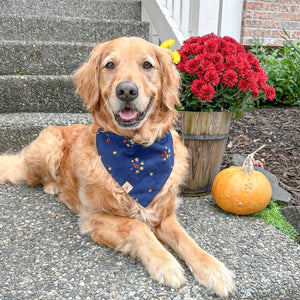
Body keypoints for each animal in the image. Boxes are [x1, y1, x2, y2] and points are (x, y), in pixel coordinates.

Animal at [0, 37, 234, 298]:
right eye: (110, 65)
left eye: (147, 64)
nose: (127, 91)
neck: (136, 152)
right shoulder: (93, 217)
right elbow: (137, 226)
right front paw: (165, 263)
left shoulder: (164, 213)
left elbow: (186, 240)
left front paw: (213, 268)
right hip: (49, 146)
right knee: (33, 176)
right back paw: (53, 186)